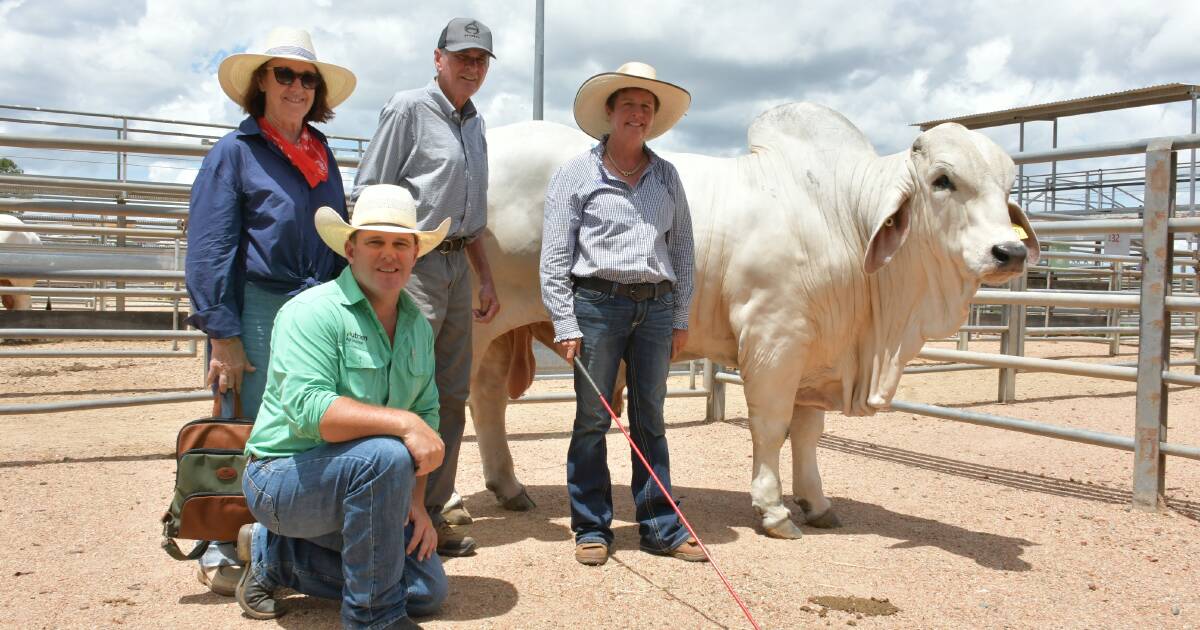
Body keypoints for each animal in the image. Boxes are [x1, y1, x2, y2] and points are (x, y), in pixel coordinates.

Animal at [463, 103, 1036, 535]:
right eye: (943, 180)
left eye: (1008, 185)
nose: (1008, 251)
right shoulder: (774, 337)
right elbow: (771, 425)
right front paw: (774, 509)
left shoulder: (817, 350)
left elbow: (807, 433)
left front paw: (817, 503)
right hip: (470, 323)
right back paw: (453, 511)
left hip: (501, 330)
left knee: (486, 398)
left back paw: (509, 489)